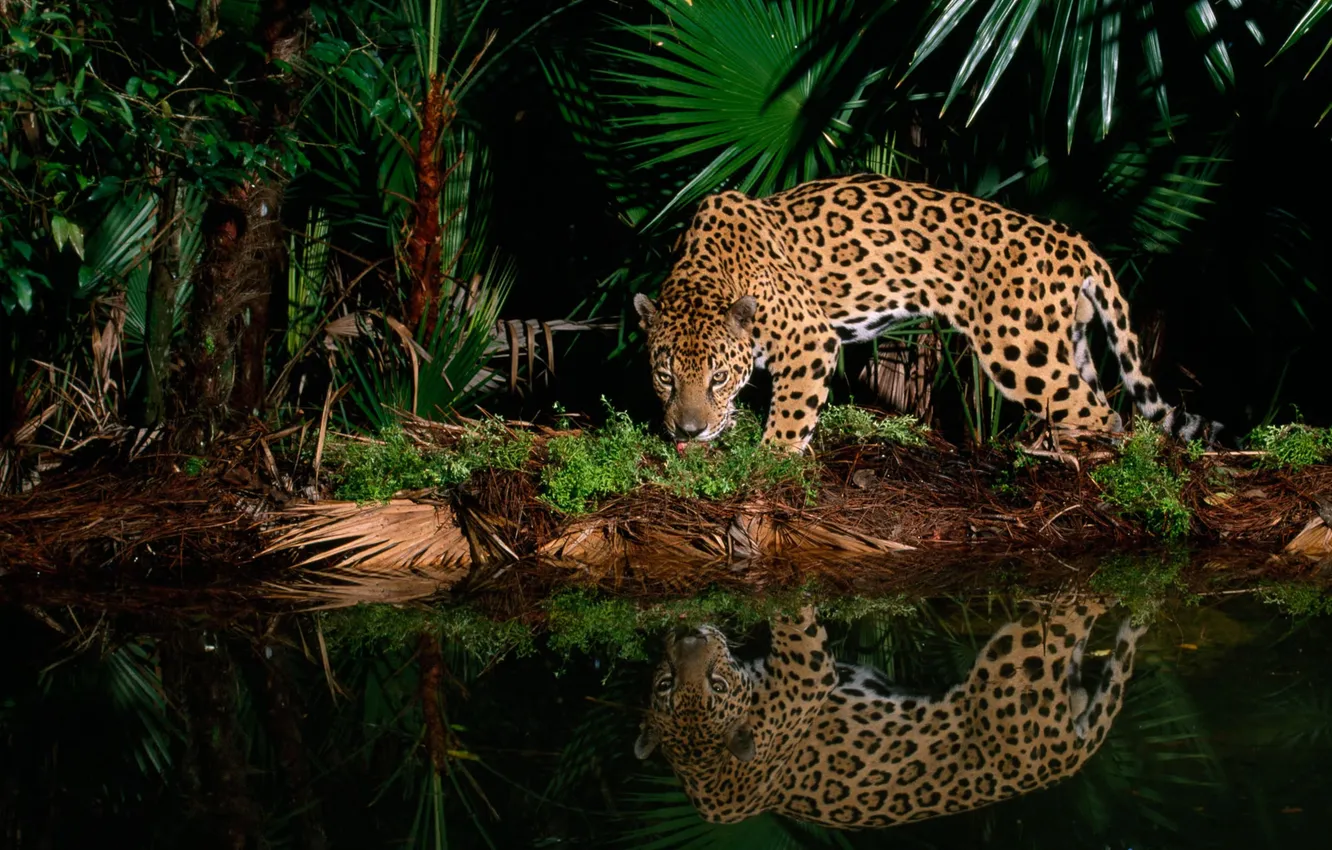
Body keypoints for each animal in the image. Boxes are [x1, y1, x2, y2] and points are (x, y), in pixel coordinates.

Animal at [633, 173, 1222, 452]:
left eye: (718, 376)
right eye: (664, 376)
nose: (687, 431)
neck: (709, 269)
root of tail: (1072, 239)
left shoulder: (809, 338)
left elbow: (791, 412)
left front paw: (771, 458)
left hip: (1021, 353)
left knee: (1106, 415)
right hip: (1064, 340)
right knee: (1104, 404)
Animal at [633, 597, 1148, 829]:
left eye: (665, 684)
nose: (689, 637)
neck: (706, 765)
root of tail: (1063, 759)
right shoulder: (809, 672)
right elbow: (793, 615)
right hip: (1013, 663)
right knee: (1075, 612)